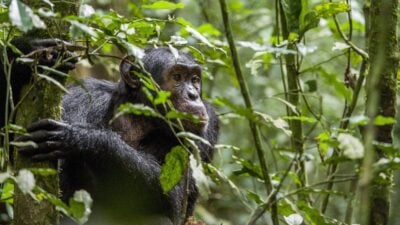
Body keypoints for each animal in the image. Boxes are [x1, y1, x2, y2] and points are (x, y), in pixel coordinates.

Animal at [2, 40, 219, 225]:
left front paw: (79, 138)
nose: (192, 94)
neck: (137, 117)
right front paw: (27, 49)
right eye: (177, 77)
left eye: (194, 79)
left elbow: (172, 193)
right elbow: (11, 142)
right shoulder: (79, 97)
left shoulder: (205, 127)